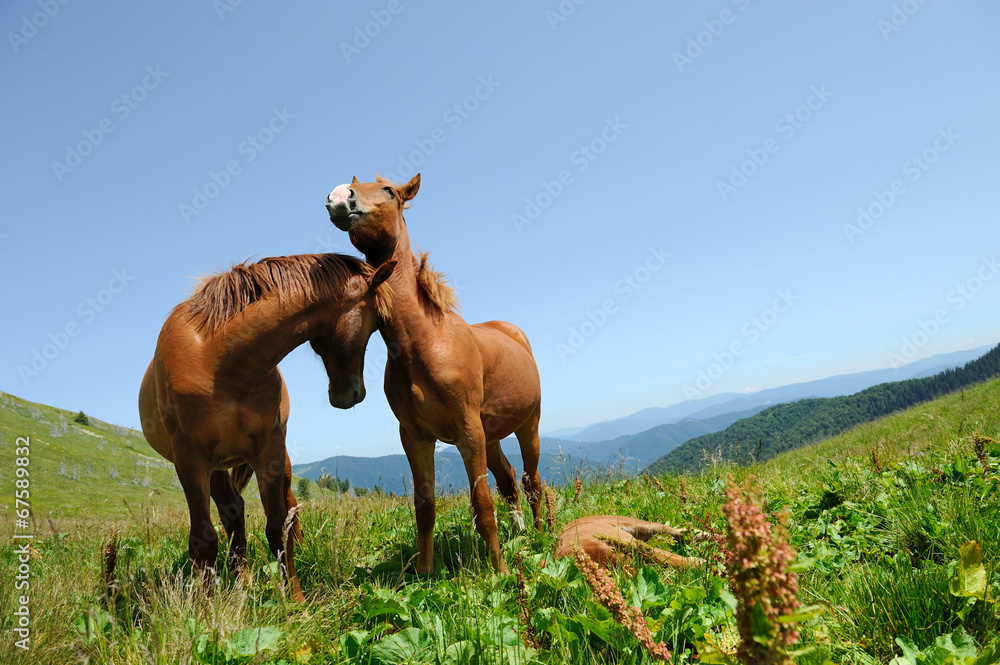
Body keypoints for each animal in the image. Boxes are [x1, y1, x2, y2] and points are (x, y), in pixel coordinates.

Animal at [137, 252, 394, 600]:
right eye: (377, 322)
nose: (354, 393)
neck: (221, 360)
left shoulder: (269, 450)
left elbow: (277, 528)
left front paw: (296, 602)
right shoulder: (190, 459)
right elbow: (204, 539)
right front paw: (204, 608)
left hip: (273, 460)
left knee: (287, 507)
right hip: (215, 466)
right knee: (232, 512)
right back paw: (241, 581)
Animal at [326, 174, 548, 572]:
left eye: (388, 192)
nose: (339, 197)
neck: (426, 342)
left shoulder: (468, 433)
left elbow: (482, 505)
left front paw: (501, 570)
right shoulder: (416, 436)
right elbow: (425, 507)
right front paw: (425, 572)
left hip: (528, 424)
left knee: (531, 482)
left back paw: (538, 535)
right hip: (491, 436)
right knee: (509, 480)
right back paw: (520, 533)